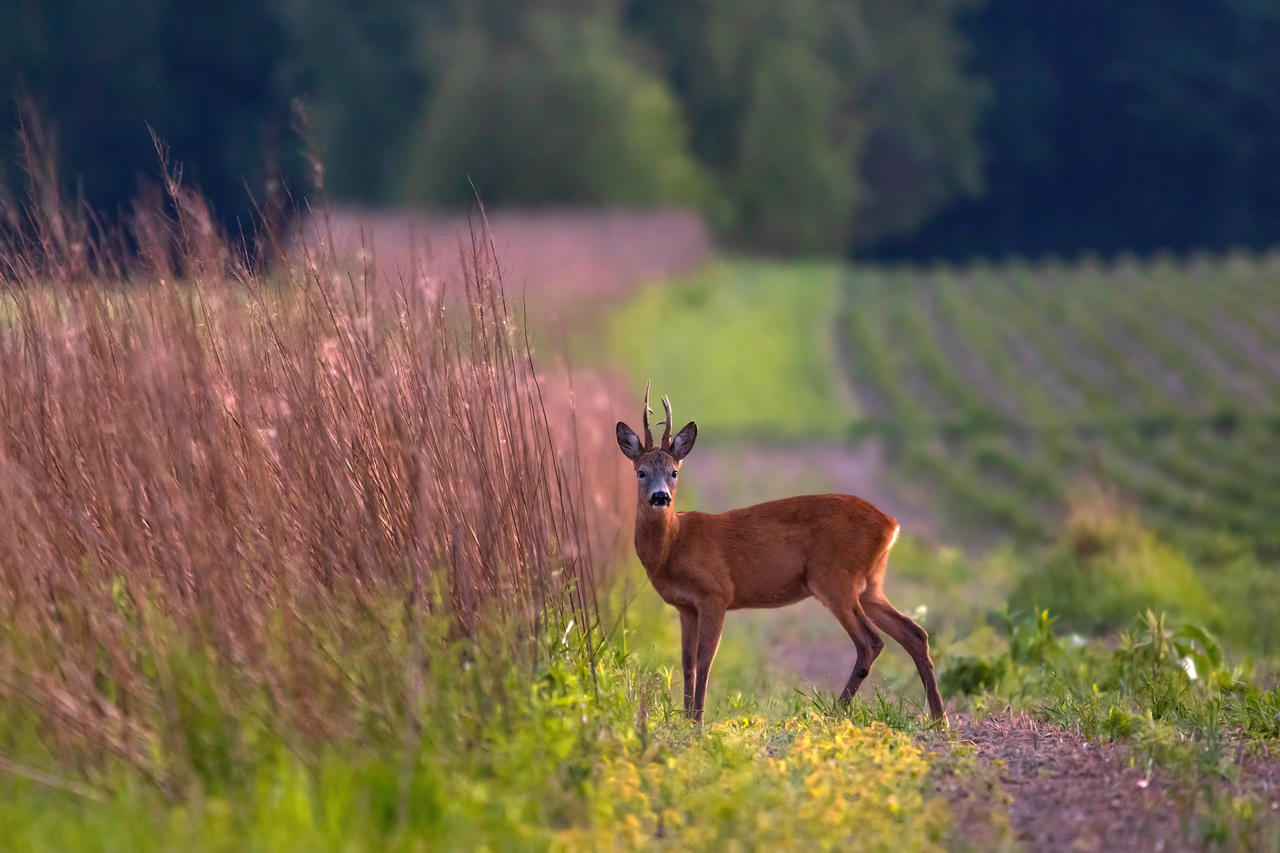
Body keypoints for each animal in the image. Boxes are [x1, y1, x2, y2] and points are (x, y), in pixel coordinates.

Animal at [614, 384, 947, 722]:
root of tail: (892, 525)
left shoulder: (716, 594)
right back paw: (938, 719)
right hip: (870, 583)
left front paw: (697, 721)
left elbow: (705, 660)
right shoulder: (686, 606)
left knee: (871, 641)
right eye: (641, 472)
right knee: (914, 633)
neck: (674, 546)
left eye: (674, 472)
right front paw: (685, 718)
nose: (660, 497)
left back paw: (835, 713)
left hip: (834, 577)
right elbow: (686, 662)